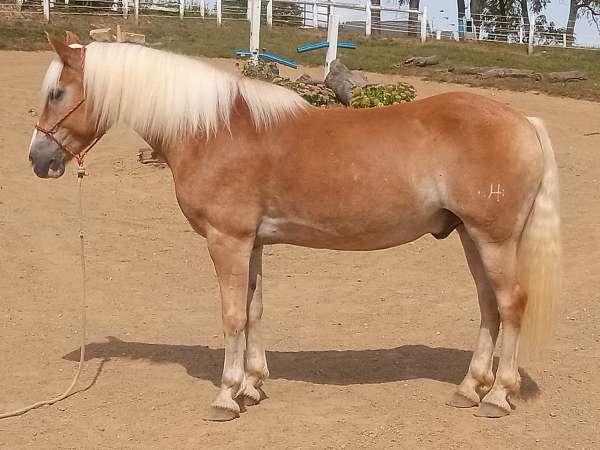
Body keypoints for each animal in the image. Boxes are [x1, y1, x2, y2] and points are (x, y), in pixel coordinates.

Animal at [29, 32, 564, 422]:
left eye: (57, 92)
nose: (38, 159)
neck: (214, 130)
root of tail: (523, 120)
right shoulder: (252, 244)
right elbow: (255, 310)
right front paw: (253, 385)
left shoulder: (227, 242)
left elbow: (232, 316)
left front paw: (226, 396)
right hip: (472, 238)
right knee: (489, 307)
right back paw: (470, 388)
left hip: (494, 239)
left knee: (511, 304)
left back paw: (498, 395)